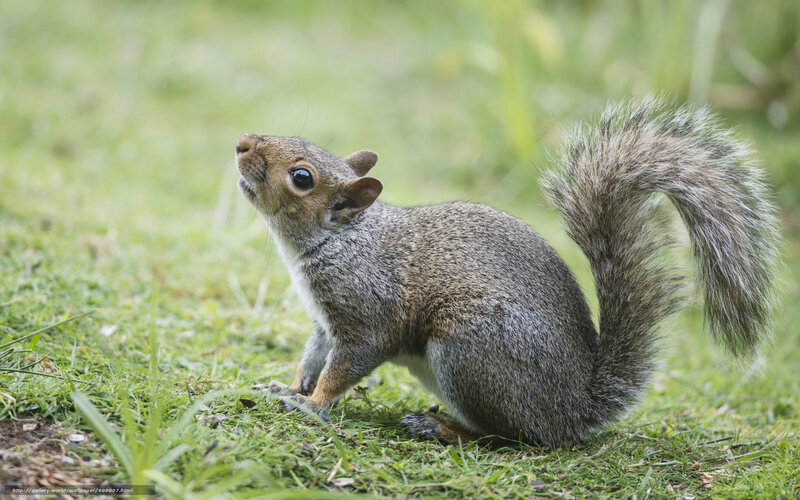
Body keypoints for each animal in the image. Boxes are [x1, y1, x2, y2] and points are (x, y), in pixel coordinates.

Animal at [235, 99, 779, 446]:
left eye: (301, 178)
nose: (242, 142)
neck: (340, 240)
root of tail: (574, 409)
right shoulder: (324, 321)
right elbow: (313, 358)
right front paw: (291, 388)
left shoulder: (368, 307)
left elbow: (348, 363)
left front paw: (313, 405)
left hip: (471, 349)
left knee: (513, 436)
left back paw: (443, 429)